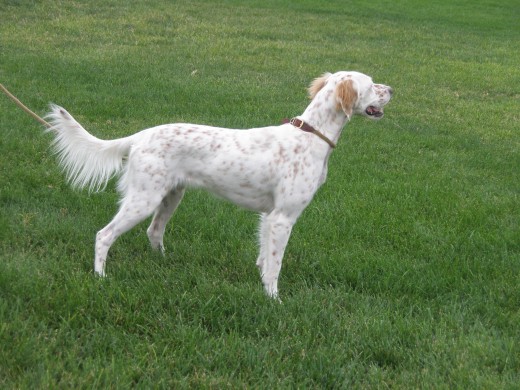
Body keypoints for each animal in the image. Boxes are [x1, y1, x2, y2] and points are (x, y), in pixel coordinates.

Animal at [45, 71, 394, 298]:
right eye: (371, 85)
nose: (392, 89)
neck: (311, 135)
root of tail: (141, 135)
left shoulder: (269, 216)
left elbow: (264, 257)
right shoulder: (284, 217)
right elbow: (275, 264)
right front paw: (274, 299)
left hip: (170, 196)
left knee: (154, 232)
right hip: (144, 199)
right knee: (103, 235)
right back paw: (101, 277)